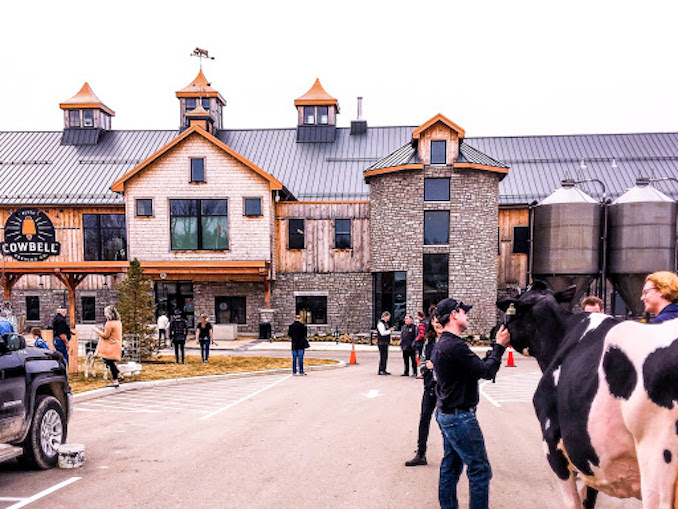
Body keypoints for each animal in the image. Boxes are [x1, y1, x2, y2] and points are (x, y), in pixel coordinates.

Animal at [496, 280, 678, 506]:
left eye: (511, 309)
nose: (495, 330)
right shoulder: (589, 456)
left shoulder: (553, 442)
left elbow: (573, 501)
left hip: (657, 458)